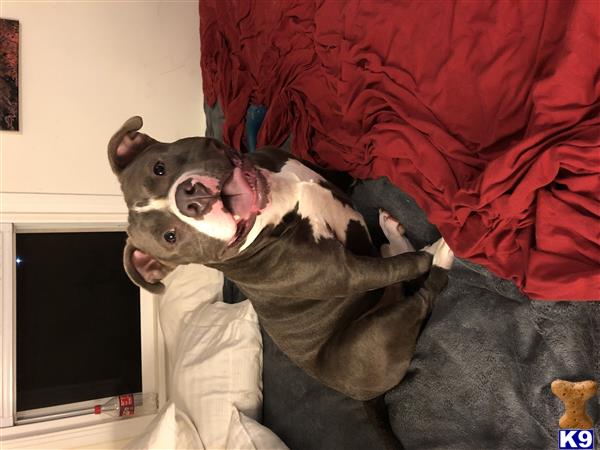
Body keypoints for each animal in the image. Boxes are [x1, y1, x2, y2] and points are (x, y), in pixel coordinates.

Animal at [109, 115, 454, 400]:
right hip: (367, 338)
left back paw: (391, 230)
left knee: (388, 254)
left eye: (159, 168)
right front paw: (425, 256)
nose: (188, 196)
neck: (275, 201)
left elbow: (341, 172)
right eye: (170, 237)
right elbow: (400, 266)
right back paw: (439, 255)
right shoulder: (348, 272)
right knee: (420, 290)